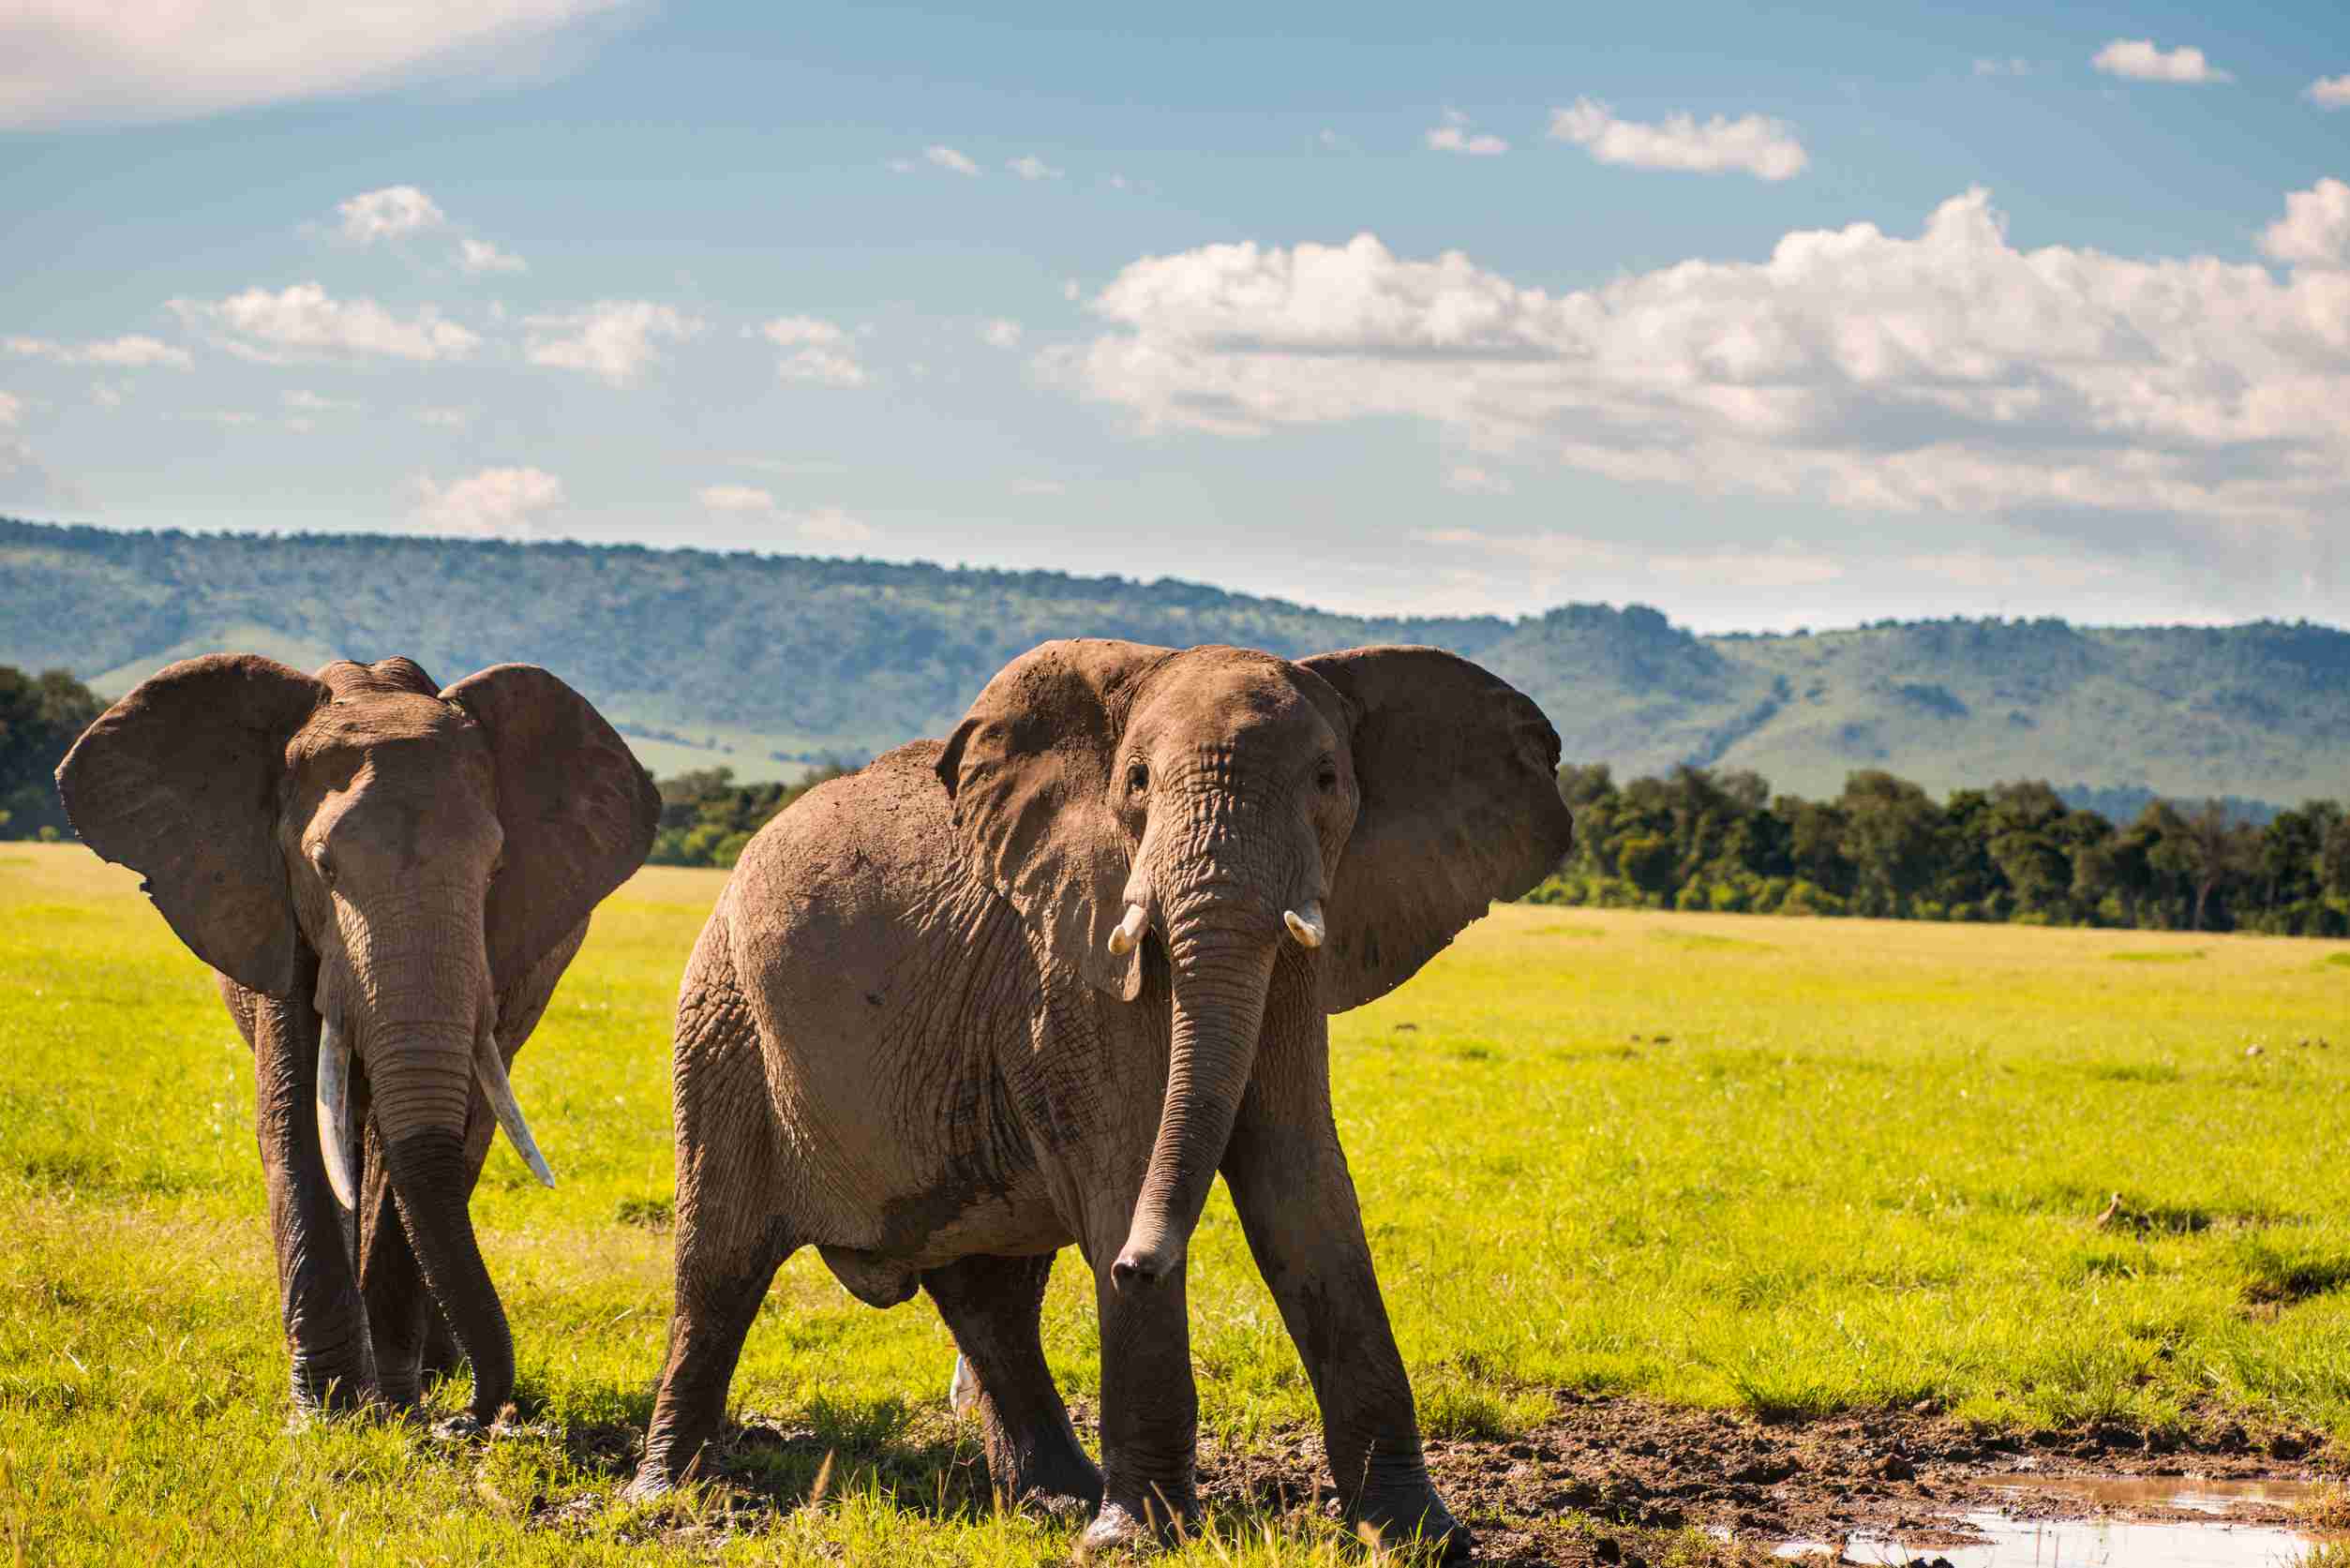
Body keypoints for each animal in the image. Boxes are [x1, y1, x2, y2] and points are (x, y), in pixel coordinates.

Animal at [57, 658, 662, 1429]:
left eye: (496, 871)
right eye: (323, 866)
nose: (470, 1417)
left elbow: (445, 1132)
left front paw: (397, 1405)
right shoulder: (277, 914)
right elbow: (295, 1119)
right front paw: (332, 1413)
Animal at [629, 639, 1579, 1561]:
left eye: (1326, 780)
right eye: (1139, 782)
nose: (1131, 1266)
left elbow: (1304, 1193)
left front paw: (1422, 1539)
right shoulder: (1064, 977)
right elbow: (1126, 1173)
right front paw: (1137, 1541)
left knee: (992, 1297)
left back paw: (1053, 1500)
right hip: (722, 1020)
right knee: (718, 1266)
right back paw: (665, 1499)